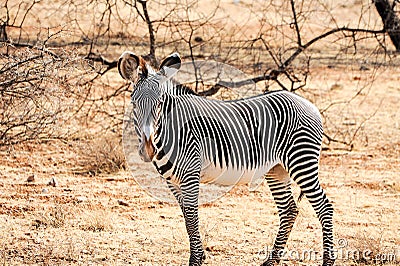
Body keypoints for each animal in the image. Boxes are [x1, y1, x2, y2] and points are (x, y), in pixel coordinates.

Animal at [118, 52, 334, 266]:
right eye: (133, 104)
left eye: (161, 104)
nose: (148, 150)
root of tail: (307, 103)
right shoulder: (172, 181)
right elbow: (187, 217)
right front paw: (200, 255)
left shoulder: (190, 175)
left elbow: (191, 217)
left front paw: (196, 260)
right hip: (277, 169)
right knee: (289, 210)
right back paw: (271, 260)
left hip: (301, 160)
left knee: (324, 207)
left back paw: (327, 261)